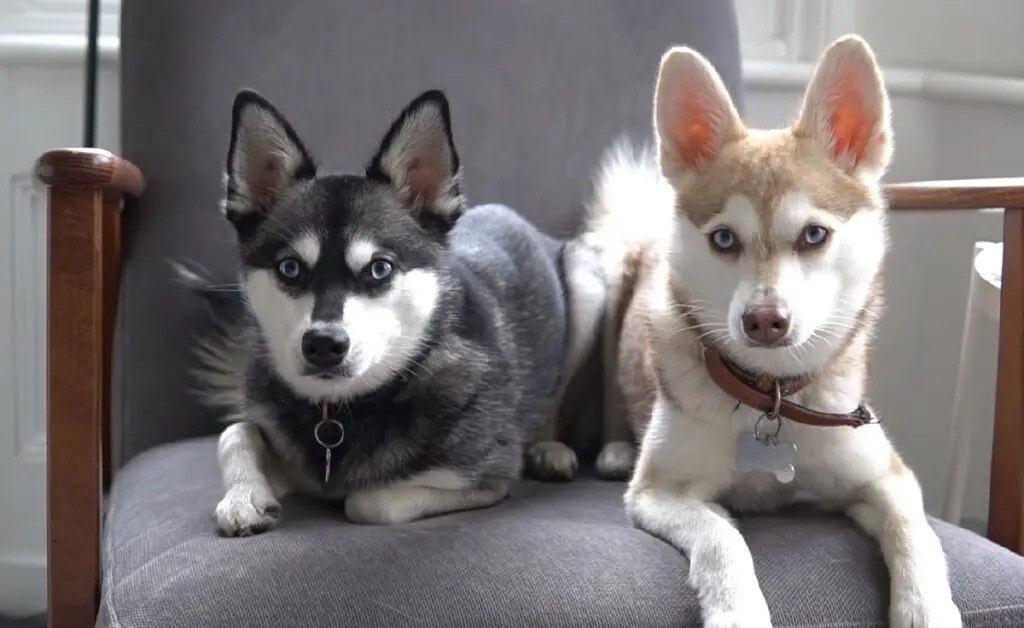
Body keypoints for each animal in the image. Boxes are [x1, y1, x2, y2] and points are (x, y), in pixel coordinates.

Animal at [179, 89, 602, 532]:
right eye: (290, 268)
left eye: (379, 268)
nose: (324, 345)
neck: (342, 411)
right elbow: (236, 432)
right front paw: (244, 496)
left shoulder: (488, 477)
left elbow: (367, 501)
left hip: (587, 281)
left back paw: (550, 448)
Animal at [581, 35, 962, 626]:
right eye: (723, 239)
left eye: (814, 235)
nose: (764, 319)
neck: (772, 392)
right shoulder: (658, 493)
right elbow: (723, 538)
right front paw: (736, 608)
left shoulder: (885, 477)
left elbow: (916, 533)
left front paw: (926, 607)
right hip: (602, 278)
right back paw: (616, 447)